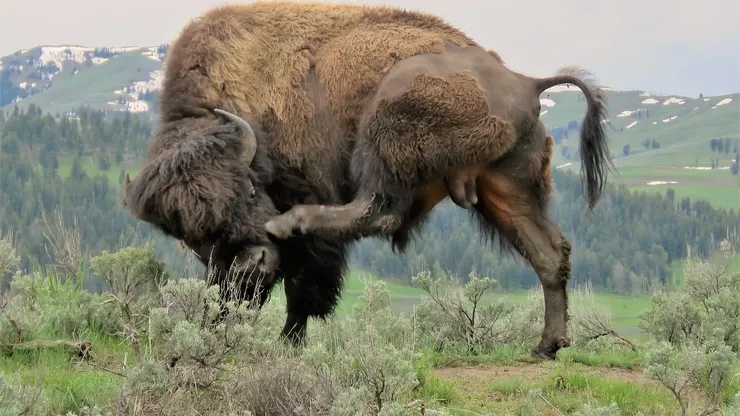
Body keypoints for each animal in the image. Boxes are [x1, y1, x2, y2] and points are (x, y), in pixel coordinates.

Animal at [123, 2, 612, 360]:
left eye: (248, 190)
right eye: (197, 238)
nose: (253, 263)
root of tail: (526, 82)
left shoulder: (312, 199)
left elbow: (305, 287)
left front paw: (289, 342)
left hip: (388, 120)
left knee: (378, 211)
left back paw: (290, 221)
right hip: (506, 187)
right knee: (549, 252)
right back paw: (547, 346)